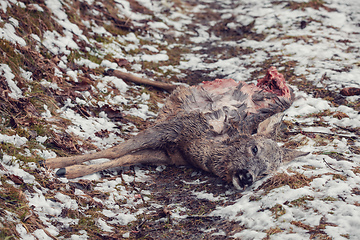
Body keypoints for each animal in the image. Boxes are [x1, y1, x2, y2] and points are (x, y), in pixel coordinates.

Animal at [43, 66, 310, 188]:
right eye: (253, 148)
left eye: (266, 172)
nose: (247, 178)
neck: (198, 151)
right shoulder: (178, 126)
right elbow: (116, 150)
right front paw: (55, 164)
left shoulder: (168, 155)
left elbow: (124, 159)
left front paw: (67, 170)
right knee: (177, 84)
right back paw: (114, 70)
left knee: (176, 86)